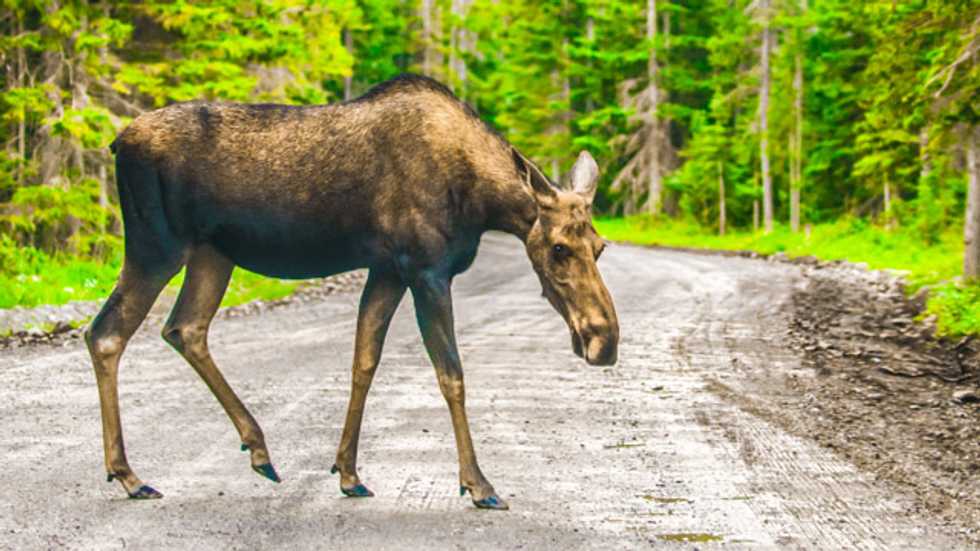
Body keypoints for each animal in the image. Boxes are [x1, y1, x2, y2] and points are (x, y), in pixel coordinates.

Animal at [85, 74, 619, 510]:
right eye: (558, 248)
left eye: (601, 245)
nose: (605, 339)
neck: (480, 202)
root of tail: (116, 143)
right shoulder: (427, 269)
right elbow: (451, 375)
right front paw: (479, 484)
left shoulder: (387, 269)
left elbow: (364, 361)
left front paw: (348, 472)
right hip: (156, 246)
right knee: (106, 333)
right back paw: (129, 475)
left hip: (212, 254)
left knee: (185, 328)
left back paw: (257, 448)